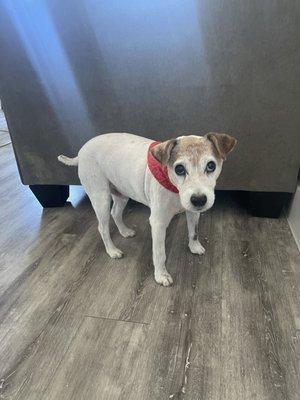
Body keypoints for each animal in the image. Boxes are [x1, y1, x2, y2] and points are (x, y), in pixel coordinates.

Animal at [58, 133, 237, 286]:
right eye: (179, 169)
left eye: (211, 166)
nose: (199, 200)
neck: (173, 187)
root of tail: (81, 151)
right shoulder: (158, 224)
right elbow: (159, 253)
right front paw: (161, 275)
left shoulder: (193, 212)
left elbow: (194, 232)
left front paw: (194, 247)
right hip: (100, 198)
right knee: (102, 227)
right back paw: (112, 250)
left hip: (122, 194)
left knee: (115, 213)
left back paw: (125, 231)